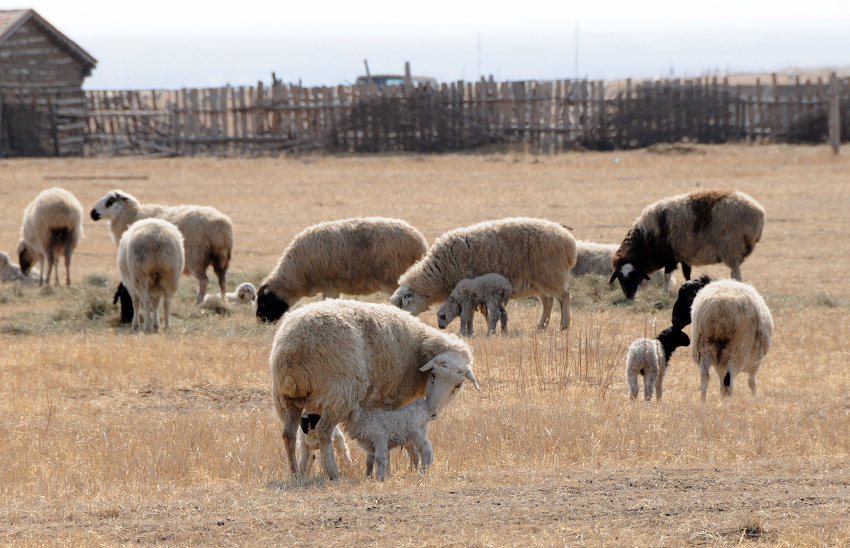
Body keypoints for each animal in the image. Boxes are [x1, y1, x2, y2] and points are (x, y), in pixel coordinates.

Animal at [90, 189, 232, 304]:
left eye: (110, 200)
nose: (93, 213)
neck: (131, 215)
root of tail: (220, 226)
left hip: (197, 258)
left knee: (204, 280)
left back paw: (199, 302)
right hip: (221, 258)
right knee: (222, 280)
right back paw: (223, 301)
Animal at [255, 217, 428, 324]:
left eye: (263, 303)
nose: (260, 320)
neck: (296, 275)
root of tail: (420, 242)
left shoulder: (329, 286)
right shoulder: (333, 288)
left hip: (394, 279)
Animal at [270, 298, 476, 482]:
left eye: (457, 385)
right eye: (433, 375)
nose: (432, 412)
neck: (418, 345)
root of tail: (293, 353)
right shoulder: (391, 399)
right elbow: (388, 430)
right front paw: (389, 470)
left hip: (286, 399)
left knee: (288, 435)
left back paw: (295, 473)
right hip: (339, 393)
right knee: (323, 432)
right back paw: (333, 473)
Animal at [390, 218, 576, 330]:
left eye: (401, 305)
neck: (439, 273)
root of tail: (569, 241)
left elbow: (483, 312)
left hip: (551, 275)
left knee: (564, 297)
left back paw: (564, 326)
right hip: (540, 281)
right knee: (548, 302)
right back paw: (541, 327)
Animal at [608, 189, 760, 300]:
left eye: (634, 276)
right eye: (620, 278)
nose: (629, 296)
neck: (646, 239)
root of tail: (758, 213)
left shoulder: (670, 258)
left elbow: (667, 276)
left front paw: (665, 294)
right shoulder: (684, 257)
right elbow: (687, 275)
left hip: (732, 247)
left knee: (737, 274)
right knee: (734, 272)